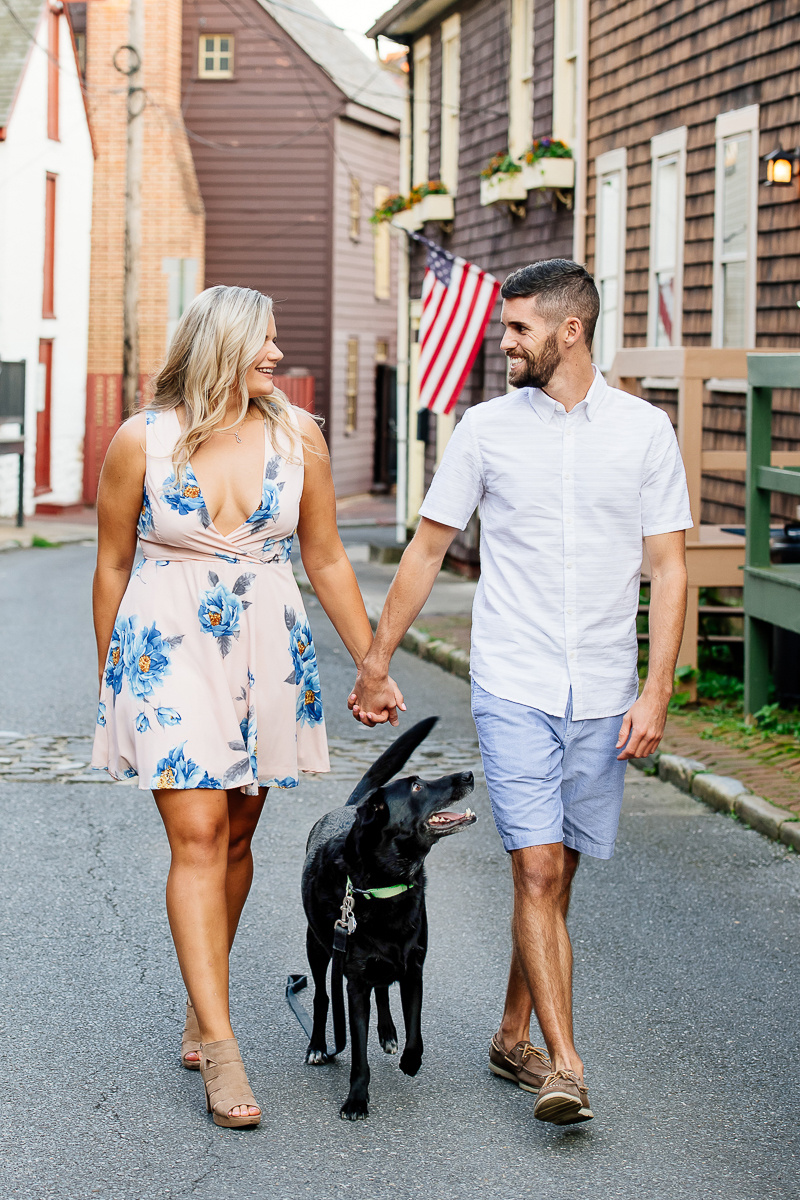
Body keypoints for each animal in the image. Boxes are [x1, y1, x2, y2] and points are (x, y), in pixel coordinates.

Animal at [299, 715, 474, 1118]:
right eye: (417, 786)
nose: (470, 774)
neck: (387, 885)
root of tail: (351, 805)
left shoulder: (414, 969)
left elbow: (415, 1029)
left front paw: (409, 1058)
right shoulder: (354, 984)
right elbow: (358, 1053)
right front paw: (356, 1099)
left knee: (383, 990)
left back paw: (388, 1032)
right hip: (318, 946)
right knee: (321, 997)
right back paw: (318, 1046)